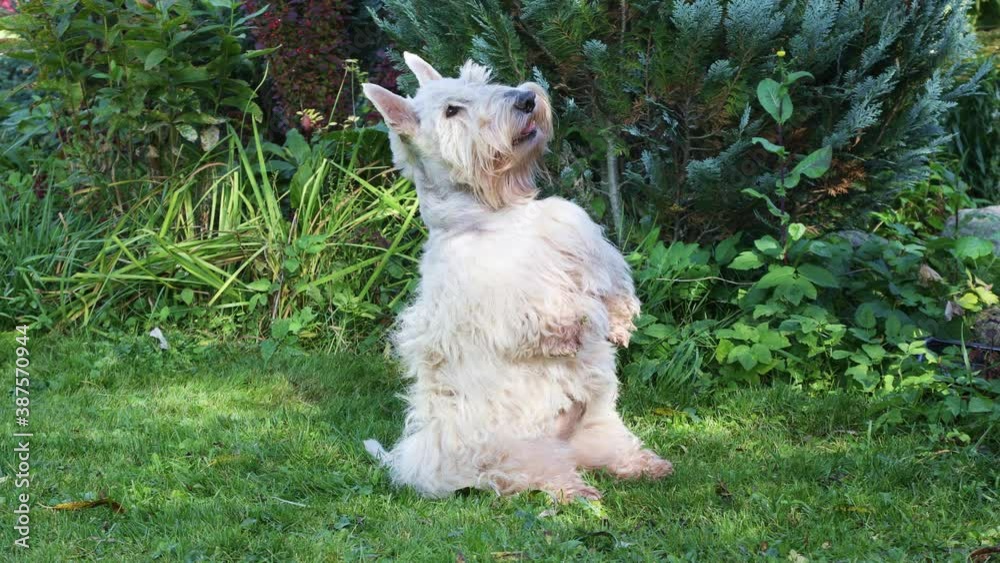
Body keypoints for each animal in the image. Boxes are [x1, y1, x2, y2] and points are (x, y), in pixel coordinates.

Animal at [362, 53, 672, 501]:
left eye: (480, 80)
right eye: (451, 110)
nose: (527, 99)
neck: (496, 212)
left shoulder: (577, 234)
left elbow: (608, 281)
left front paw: (620, 320)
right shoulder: (497, 295)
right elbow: (544, 314)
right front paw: (570, 329)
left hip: (596, 423)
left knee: (608, 447)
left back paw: (645, 465)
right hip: (507, 450)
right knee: (532, 472)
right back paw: (577, 491)